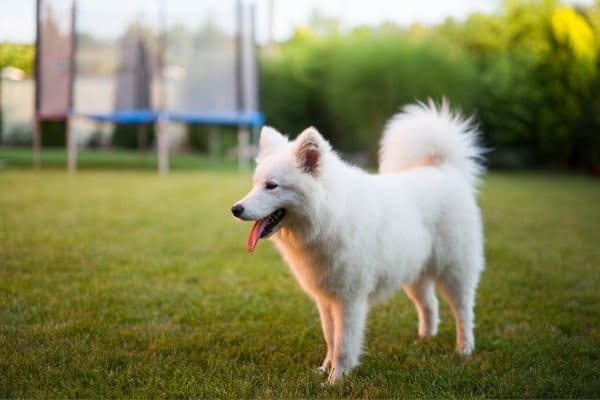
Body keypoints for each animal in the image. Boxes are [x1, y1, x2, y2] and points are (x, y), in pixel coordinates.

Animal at [232, 101, 486, 384]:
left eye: (272, 186)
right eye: (255, 184)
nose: (236, 209)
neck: (329, 216)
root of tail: (443, 169)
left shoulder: (349, 299)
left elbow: (343, 344)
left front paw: (335, 380)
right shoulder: (325, 298)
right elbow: (330, 338)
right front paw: (324, 369)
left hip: (455, 271)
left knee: (463, 311)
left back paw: (464, 349)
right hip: (414, 275)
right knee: (430, 305)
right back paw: (424, 340)